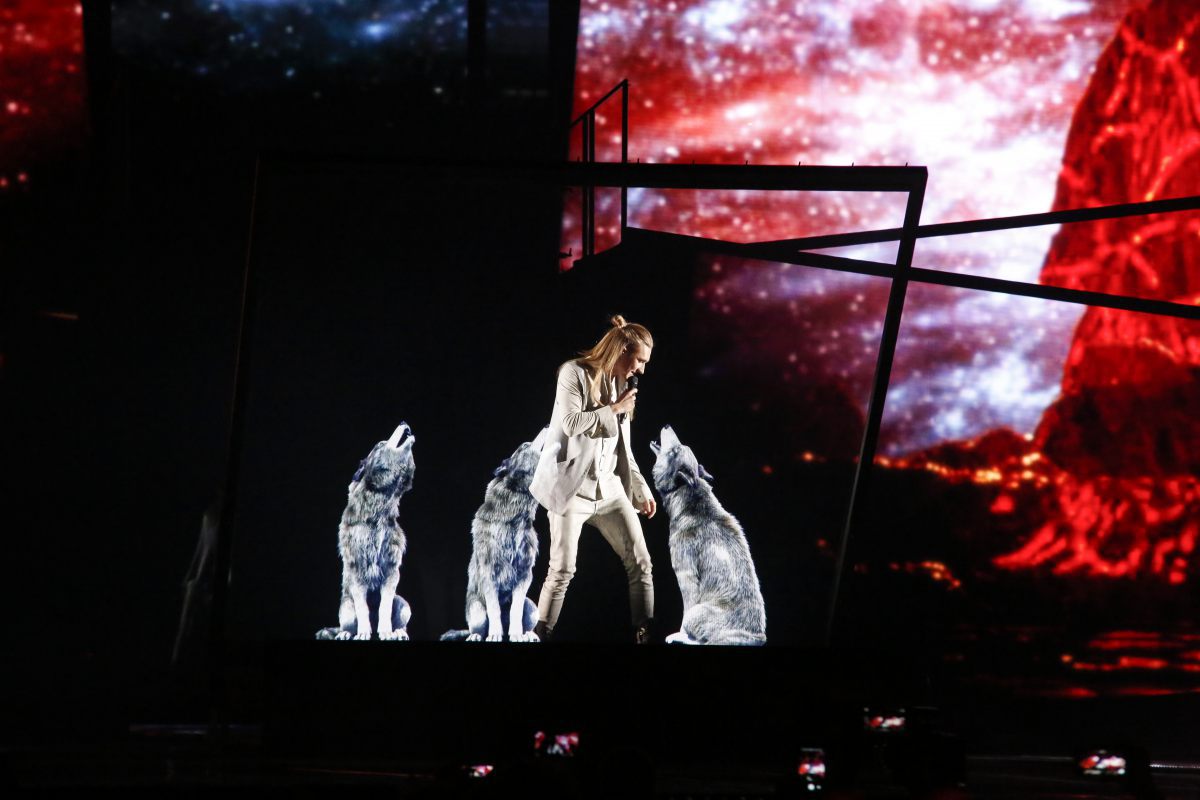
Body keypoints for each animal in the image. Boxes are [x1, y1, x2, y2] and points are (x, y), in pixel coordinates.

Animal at [316, 422, 415, 642]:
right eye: (380, 444)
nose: (404, 422)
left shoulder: (391, 573)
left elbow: (384, 607)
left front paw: (386, 632)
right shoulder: (357, 573)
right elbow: (363, 609)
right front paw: (363, 633)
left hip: (404, 604)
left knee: (401, 620)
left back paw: (398, 632)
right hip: (346, 608)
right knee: (346, 624)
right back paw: (345, 633)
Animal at [441, 431, 552, 642]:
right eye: (525, 445)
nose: (547, 426)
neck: (512, 520)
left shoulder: (525, 576)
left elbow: (515, 610)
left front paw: (516, 634)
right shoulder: (489, 575)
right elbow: (494, 611)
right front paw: (494, 635)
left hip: (532, 607)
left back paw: (527, 634)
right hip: (476, 612)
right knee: (477, 628)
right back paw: (477, 636)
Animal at [652, 429, 763, 647]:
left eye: (676, 450)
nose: (667, 425)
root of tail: (757, 638)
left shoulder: (685, 573)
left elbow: (686, 608)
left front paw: (681, 635)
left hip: (698, 613)